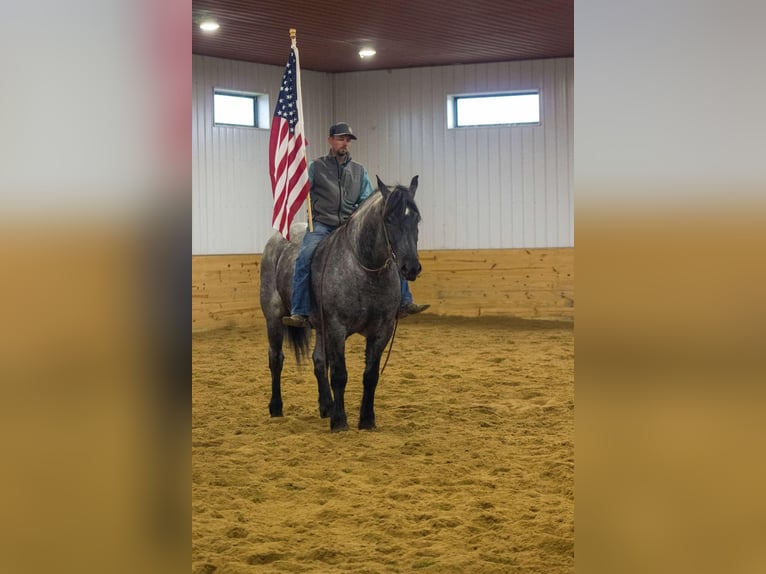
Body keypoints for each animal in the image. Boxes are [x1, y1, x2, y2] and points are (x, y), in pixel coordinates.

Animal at [259, 175, 422, 431]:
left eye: (416, 218)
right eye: (389, 218)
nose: (410, 267)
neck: (363, 268)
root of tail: (277, 240)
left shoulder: (382, 331)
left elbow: (370, 376)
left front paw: (366, 420)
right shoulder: (336, 328)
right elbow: (339, 374)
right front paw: (339, 421)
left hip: (319, 326)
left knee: (318, 362)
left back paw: (326, 406)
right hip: (274, 318)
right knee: (276, 359)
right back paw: (276, 408)